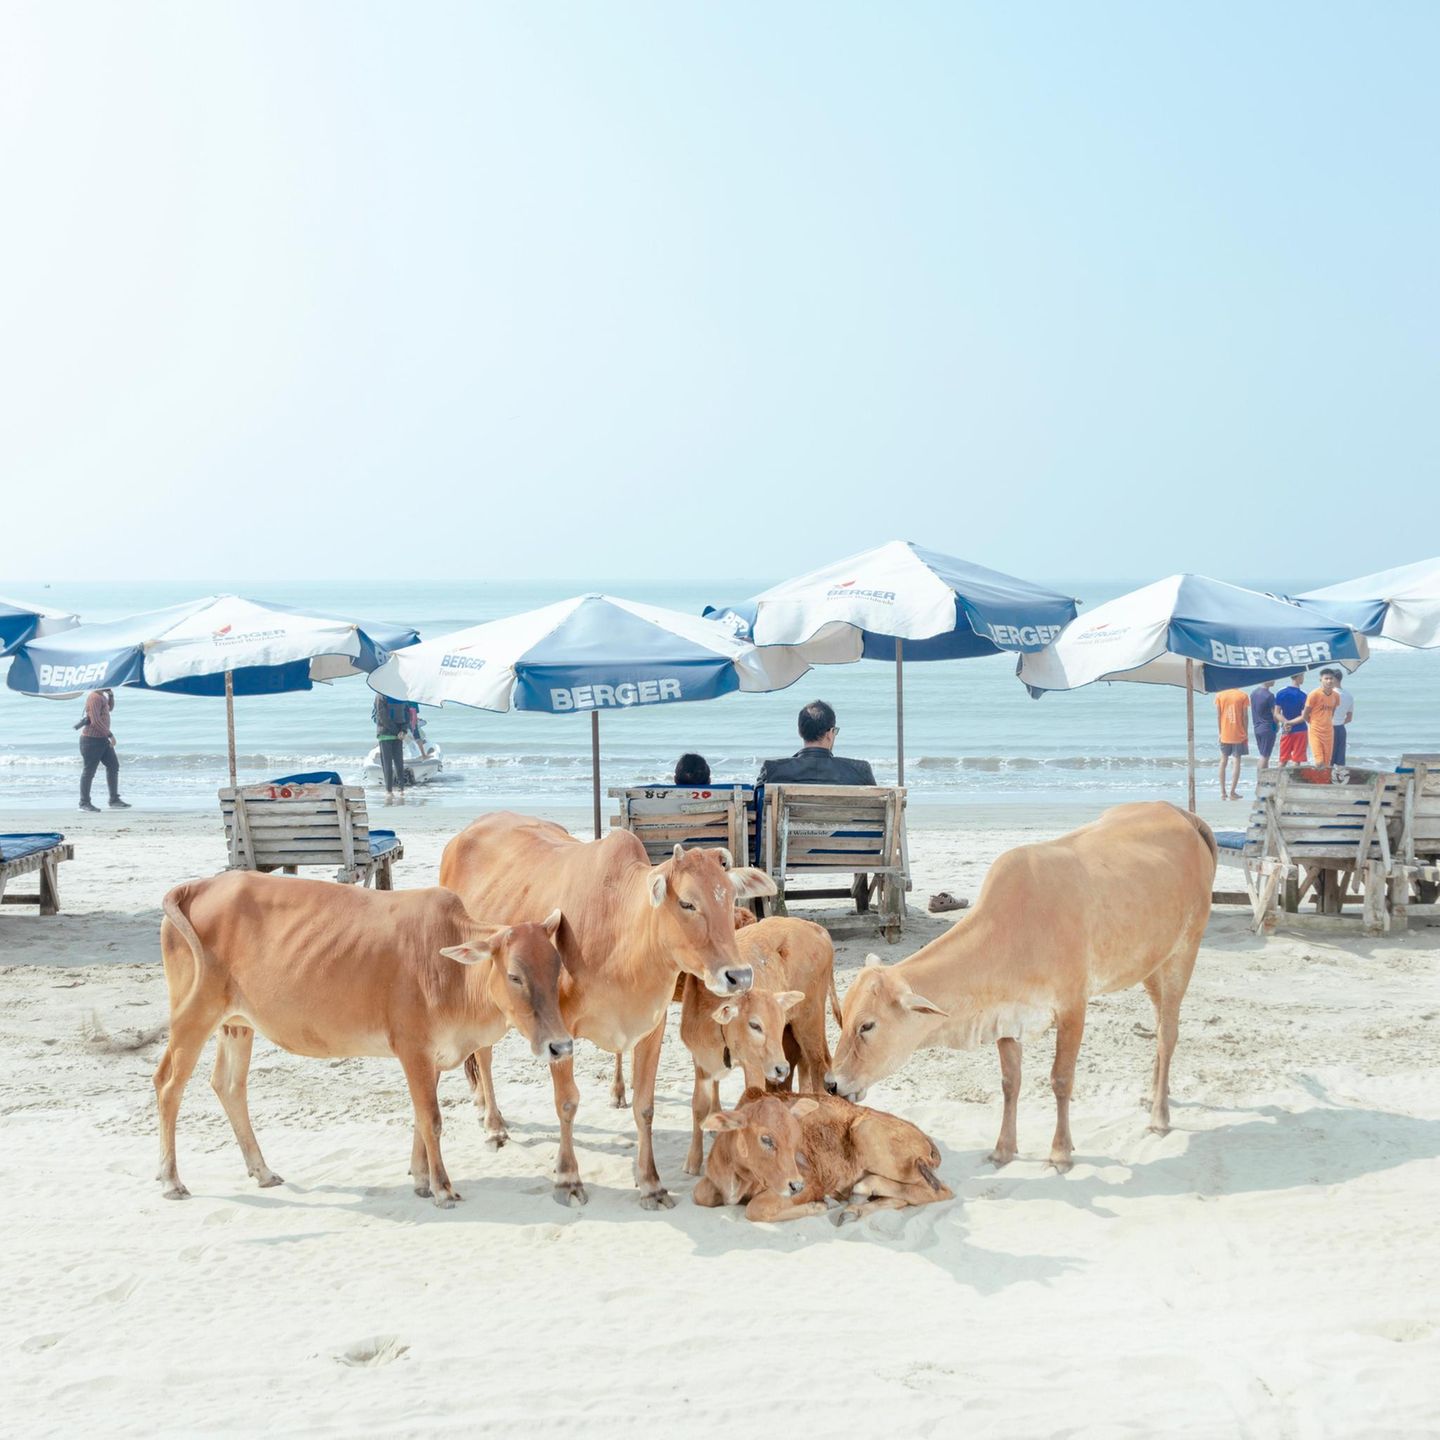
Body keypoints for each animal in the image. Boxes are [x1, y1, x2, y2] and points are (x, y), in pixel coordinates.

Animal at [150, 869, 567, 1209]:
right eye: (514, 975)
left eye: (557, 967)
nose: (560, 1046)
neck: (452, 971)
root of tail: (197, 886)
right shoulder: (413, 1049)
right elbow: (431, 1119)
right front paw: (442, 1187)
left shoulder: (430, 1056)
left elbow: (419, 1119)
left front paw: (421, 1179)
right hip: (193, 1015)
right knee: (169, 1085)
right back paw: (171, 1180)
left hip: (237, 1024)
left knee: (229, 1085)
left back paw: (262, 1170)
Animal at [437, 817, 777, 1209]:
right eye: (687, 903)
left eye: (732, 898)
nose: (740, 975)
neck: (621, 936)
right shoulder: (560, 1033)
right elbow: (567, 1103)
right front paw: (568, 1178)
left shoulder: (651, 1027)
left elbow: (645, 1106)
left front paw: (651, 1183)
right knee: (484, 1056)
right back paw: (493, 1123)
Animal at [696, 1088, 956, 1226]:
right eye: (766, 1139)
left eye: (796, 1137)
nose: (796, 1185)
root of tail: (923, 1135)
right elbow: (700, 1194)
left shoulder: (812, 1181)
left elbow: (756, 1208)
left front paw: (820, 1205)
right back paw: (853, 1209)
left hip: (868, 1134)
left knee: (939, 1191)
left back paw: (861, 1190)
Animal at [823, 800, 1215, 1169]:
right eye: (842, 1020)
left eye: (867, 1025)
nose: (831, 1083)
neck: (1015, 930)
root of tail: (1182, 814)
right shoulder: (1005, 1015)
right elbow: (1010, 1082)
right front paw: (1004, 1149)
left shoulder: (1073, 1007)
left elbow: (1061, 1079)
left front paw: (1060, 1152)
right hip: (1152, 963)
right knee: (1160, 1023)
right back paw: (1154, 1094)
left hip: (1185, 951)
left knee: (1167, 1035)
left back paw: (1160, 1116)